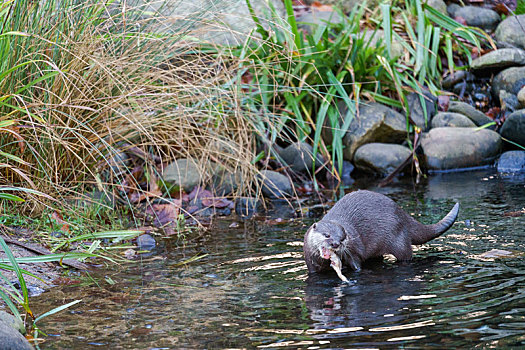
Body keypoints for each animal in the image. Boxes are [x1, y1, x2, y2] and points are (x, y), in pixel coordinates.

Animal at [302, 190, 458, 278]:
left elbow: (357, 264)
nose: (335, 244)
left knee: (406, 256)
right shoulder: (310, 262)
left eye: (343, 238)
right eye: (327, 235)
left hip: (399, 241)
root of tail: (402, 214)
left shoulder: (353, 252)